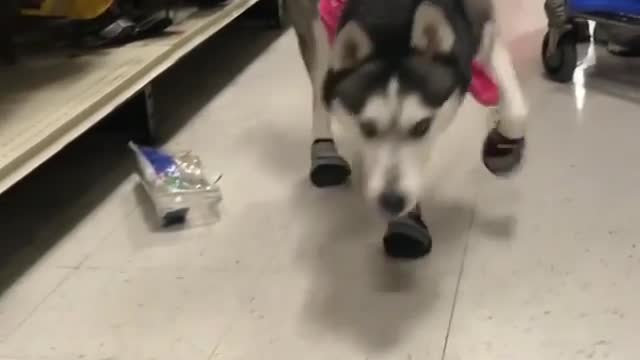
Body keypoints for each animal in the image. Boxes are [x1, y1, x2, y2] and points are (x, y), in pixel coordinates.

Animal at [282, 0, 528, 258]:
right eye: (367, 127)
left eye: (422, 126)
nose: (391, 201)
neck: (390, 15)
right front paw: (407, 219)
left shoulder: (483, 28)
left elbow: (517, 109)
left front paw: (502, 146)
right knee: (320, 85)